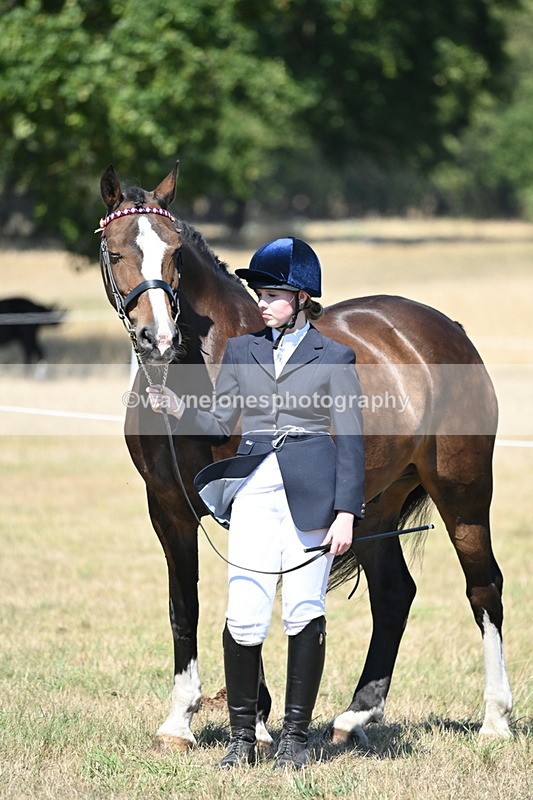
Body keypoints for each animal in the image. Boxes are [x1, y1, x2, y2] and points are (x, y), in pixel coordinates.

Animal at [97, 162, 512, 751]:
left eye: (175, 253)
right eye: (114, 252)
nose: (160, 338)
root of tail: (447, 330)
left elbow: (249, 595)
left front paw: (258, 722)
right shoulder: (169, 509)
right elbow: (186, 606)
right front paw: (180, 721)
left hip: (464, 493)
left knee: (485, 588)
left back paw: (495, 719)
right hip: (374, 505)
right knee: (394, 594)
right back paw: (355, 716)